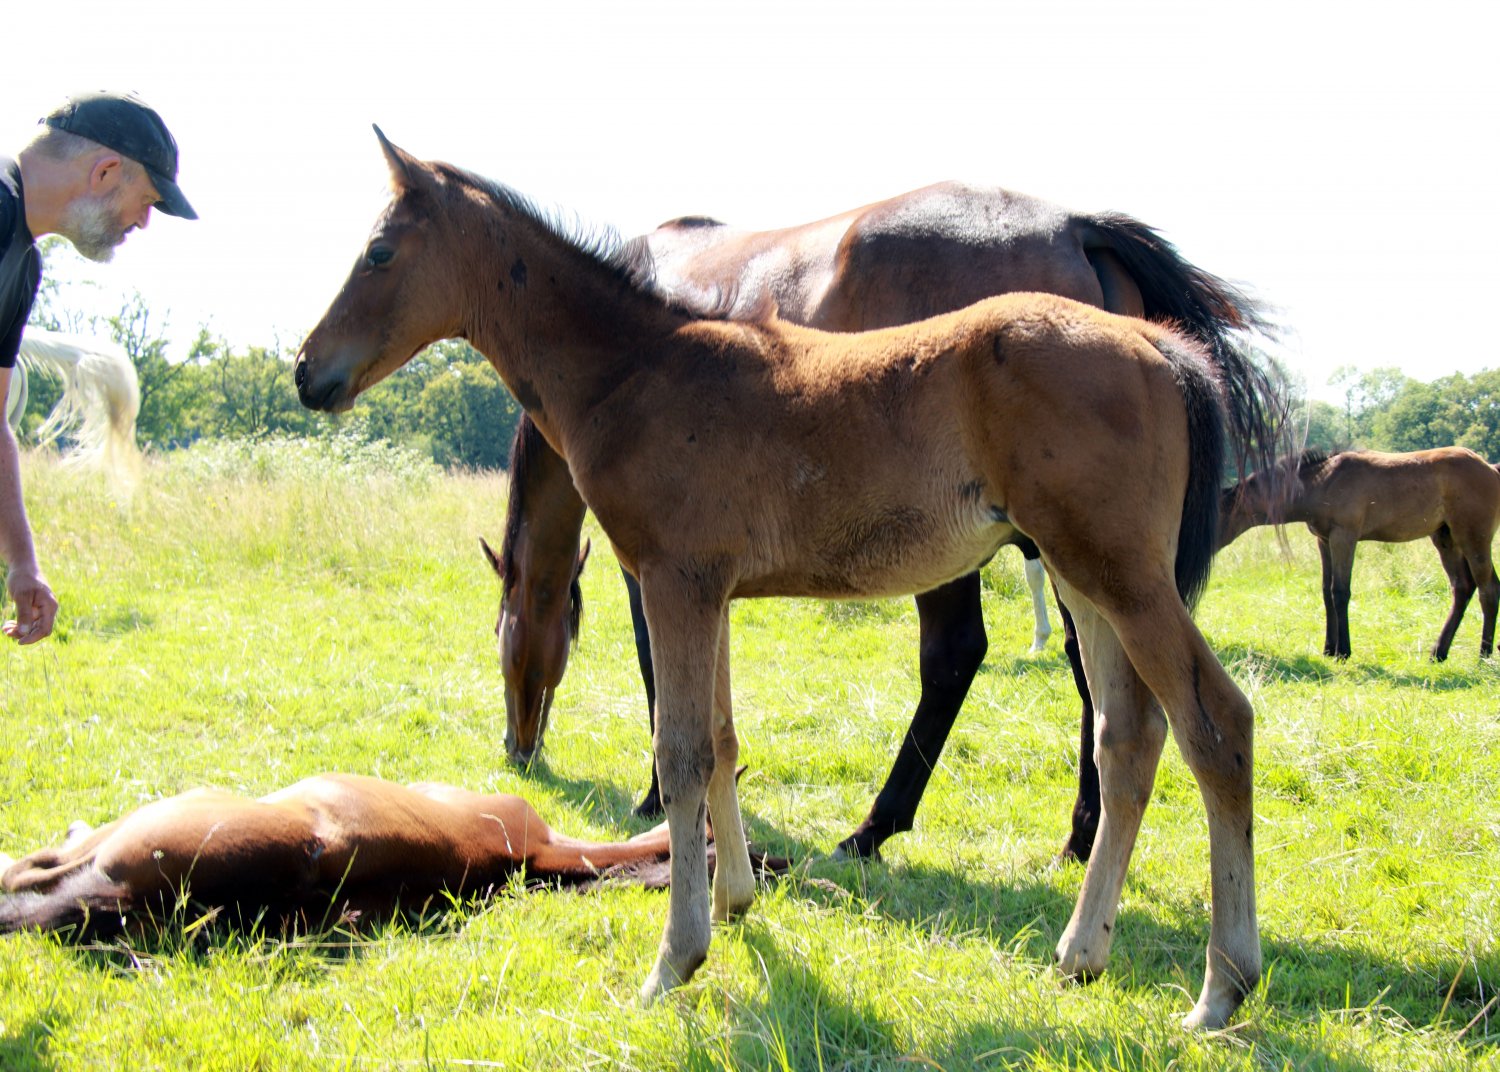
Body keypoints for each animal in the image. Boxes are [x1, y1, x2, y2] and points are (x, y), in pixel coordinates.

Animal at [488, 181, 1280, 865]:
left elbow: (658, 670)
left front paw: (657, 796)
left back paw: (885, 826)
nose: (516, 748)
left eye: (503, 639)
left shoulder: (658, 567)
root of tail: (1077, 229)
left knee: (966, 657)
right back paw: (1078, 835)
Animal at [1221, 447, 1500, 660]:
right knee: (1462, 587)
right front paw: (1328, 648)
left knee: (1488, 589)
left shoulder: (1344, 536)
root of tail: (1491, 468)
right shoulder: (1324, 540)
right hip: (1445, 539)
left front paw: (1343, 651)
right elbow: (1326, 591)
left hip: (1473, 537)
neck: (1323, 483)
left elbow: (1340, 591)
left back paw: (1483, 655)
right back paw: (1438, 652)